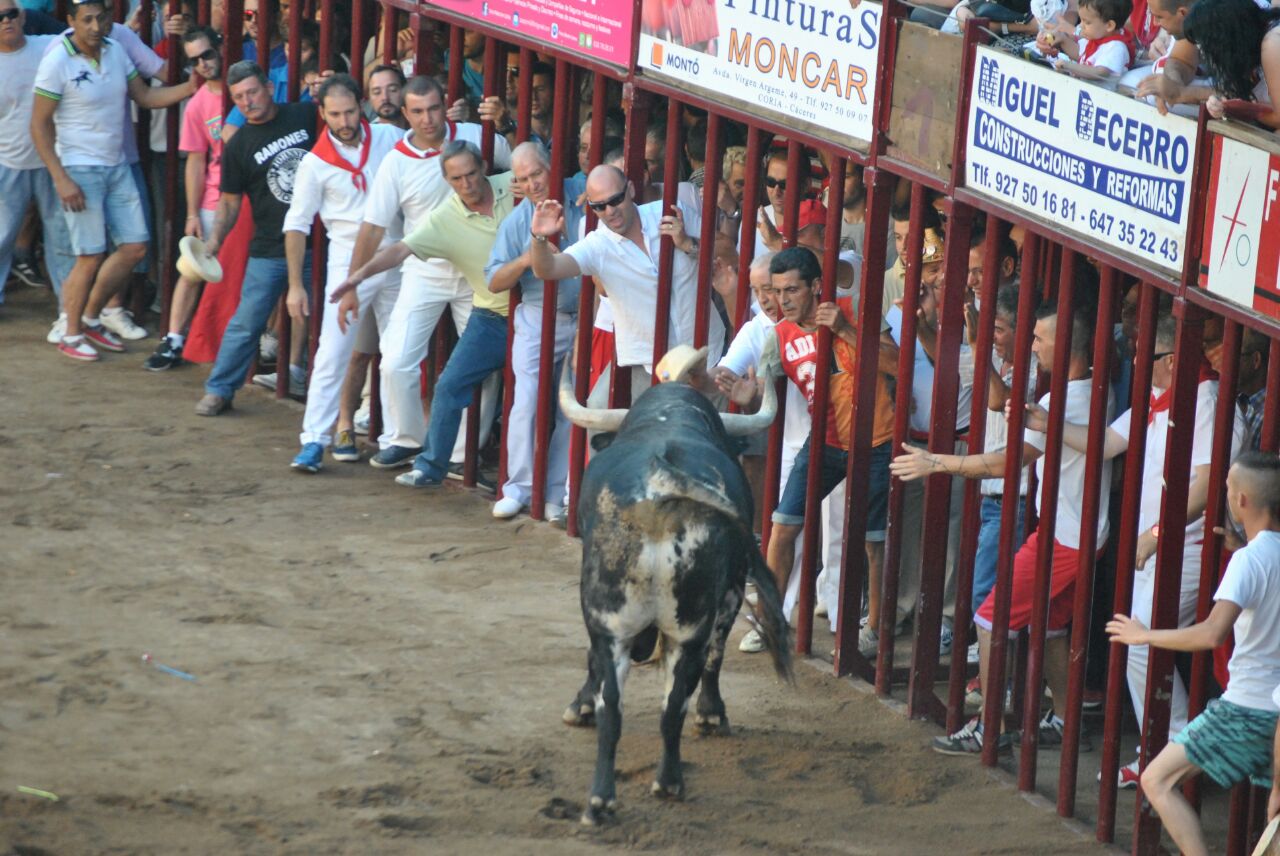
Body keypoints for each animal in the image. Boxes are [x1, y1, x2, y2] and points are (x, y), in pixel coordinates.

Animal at [560, 371, 788, 818]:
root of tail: (662, 482)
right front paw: (713, 716)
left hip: (629, 620)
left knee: (625, 701)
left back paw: (621, 795)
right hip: (685, 624)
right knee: (662, 702)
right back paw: (646, 788)